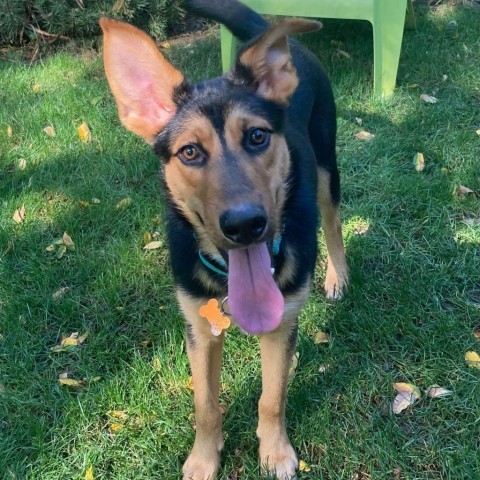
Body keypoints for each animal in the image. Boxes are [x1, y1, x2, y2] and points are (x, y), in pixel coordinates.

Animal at [101, 0, 348, 476]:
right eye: (190, 152)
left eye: (257, 136)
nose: (245, 225)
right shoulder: (198, 327)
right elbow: (205, 405)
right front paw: (203, 458)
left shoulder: (282, 323)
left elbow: (272, 397)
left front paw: (275, 452)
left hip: (327, 165)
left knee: (333, 222)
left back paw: (337, 276)